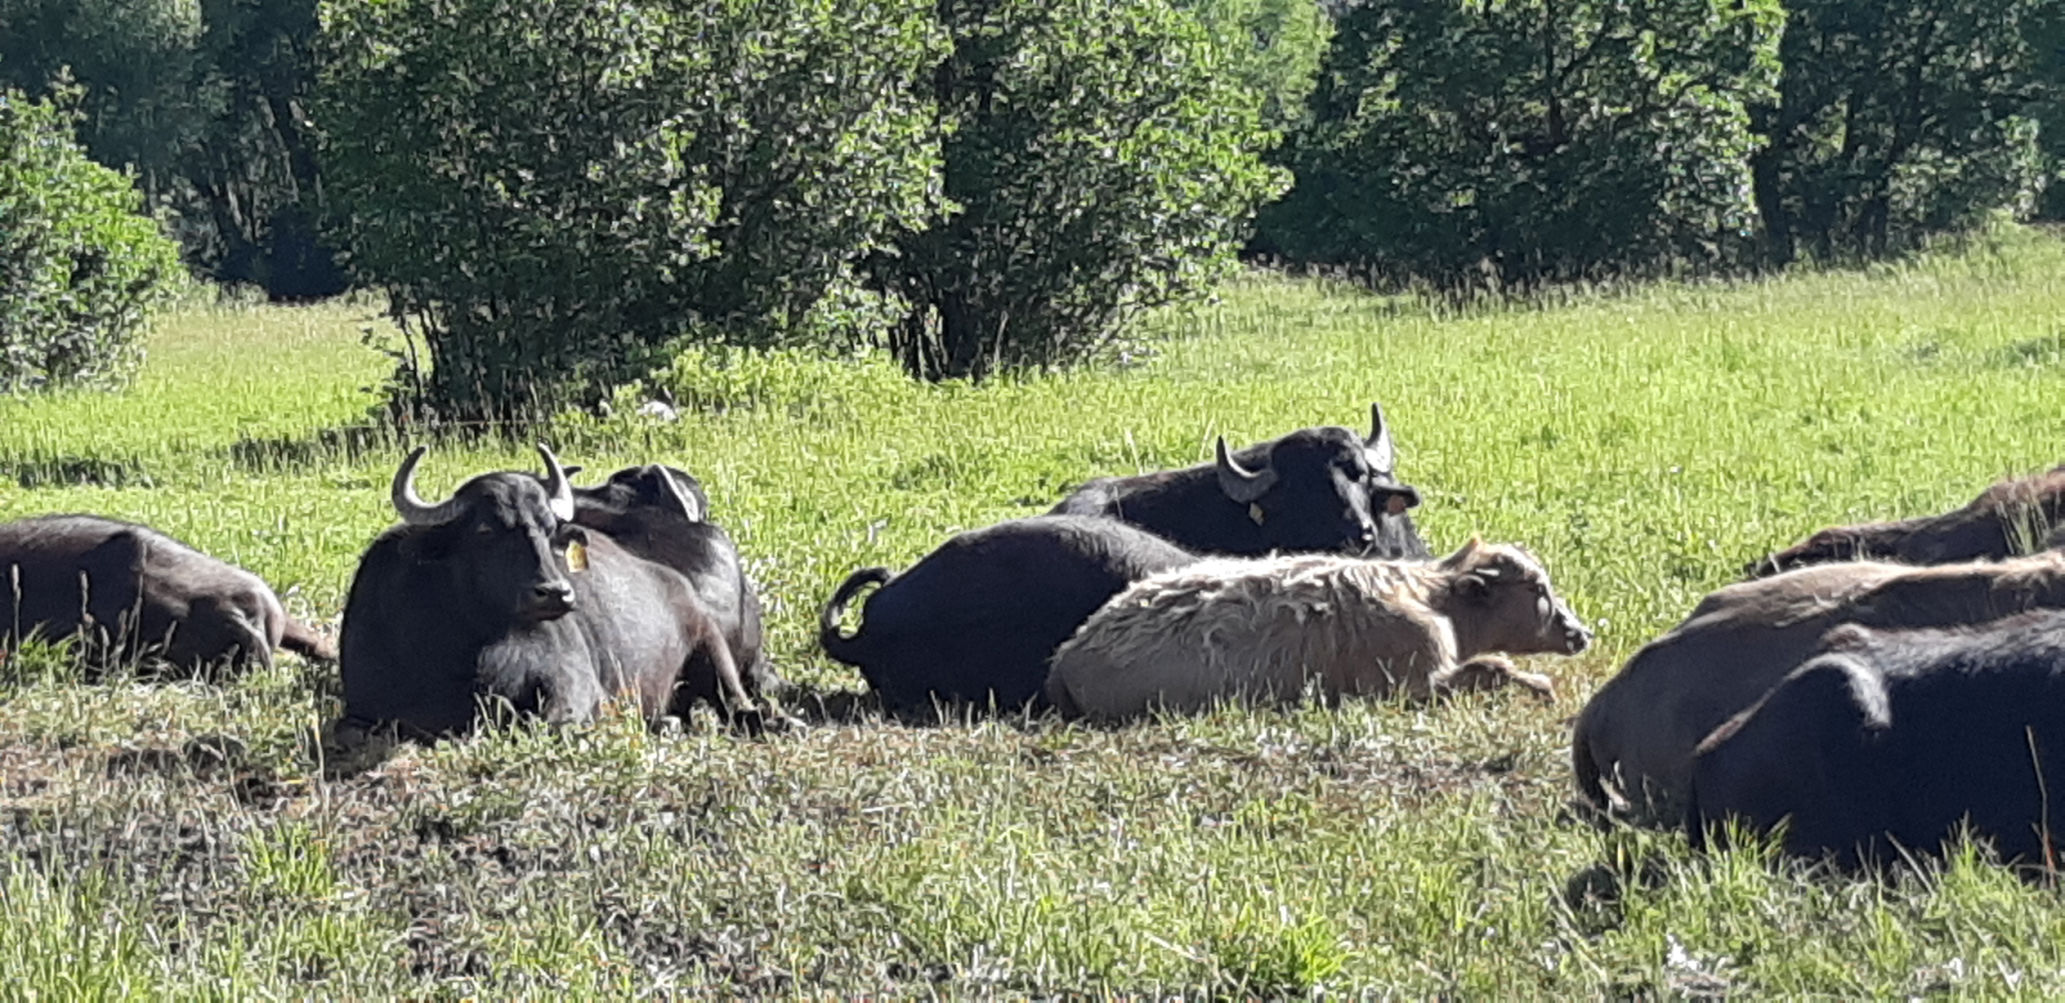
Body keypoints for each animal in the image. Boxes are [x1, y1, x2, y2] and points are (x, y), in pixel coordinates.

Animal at [339, 446, 775, 736]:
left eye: (549, 528)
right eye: (484, 530)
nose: (556, 593)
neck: (479, 645)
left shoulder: (573, 678)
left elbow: (554, 722)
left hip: (711, 645)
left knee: (738, 704)